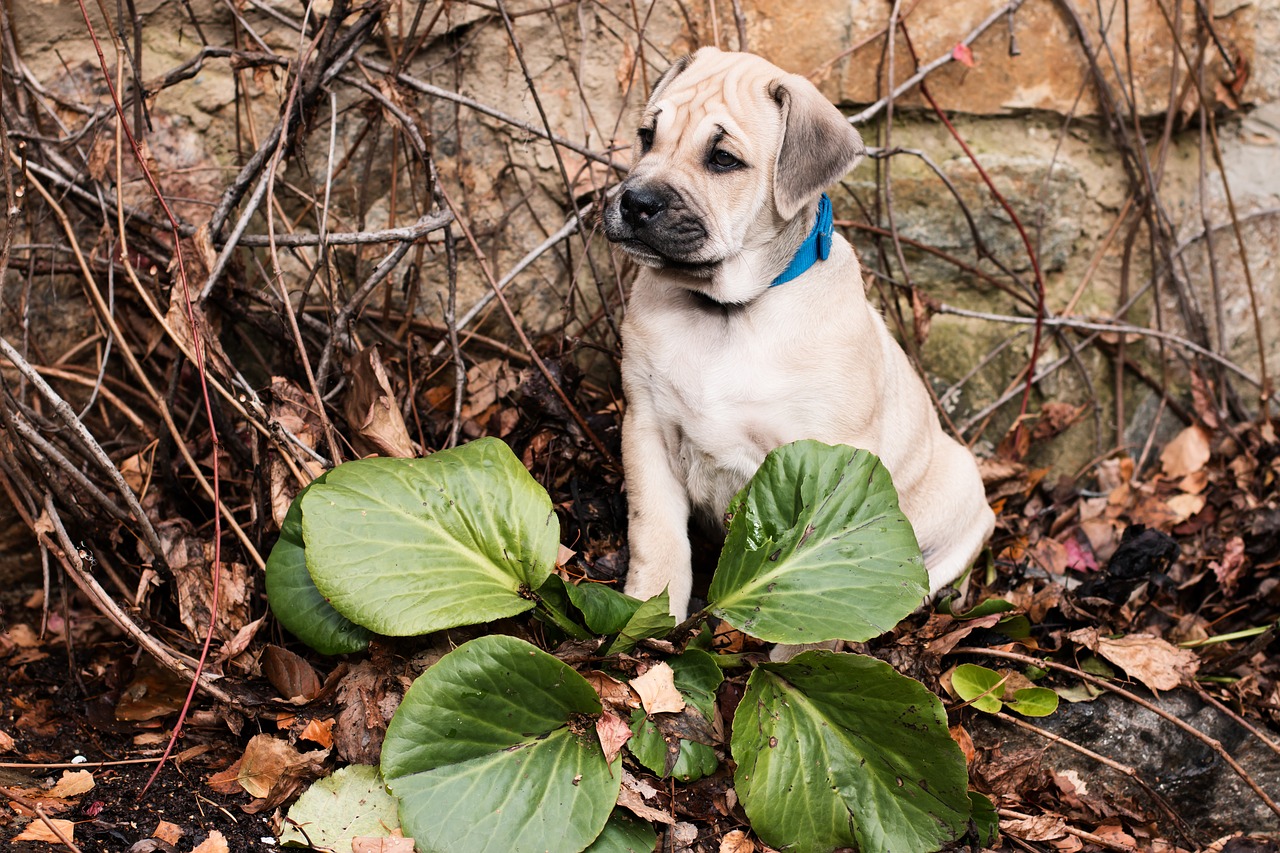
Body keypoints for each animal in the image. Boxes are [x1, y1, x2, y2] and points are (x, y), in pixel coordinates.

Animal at [604, 46, 993, 617]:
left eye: (723, 160)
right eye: (647, 136)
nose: (634, 202)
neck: (728, 310)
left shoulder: (827, 459)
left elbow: (815, 564)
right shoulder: (647, 428)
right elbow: (656, 533)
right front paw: (649, 615)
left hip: (961, 483)